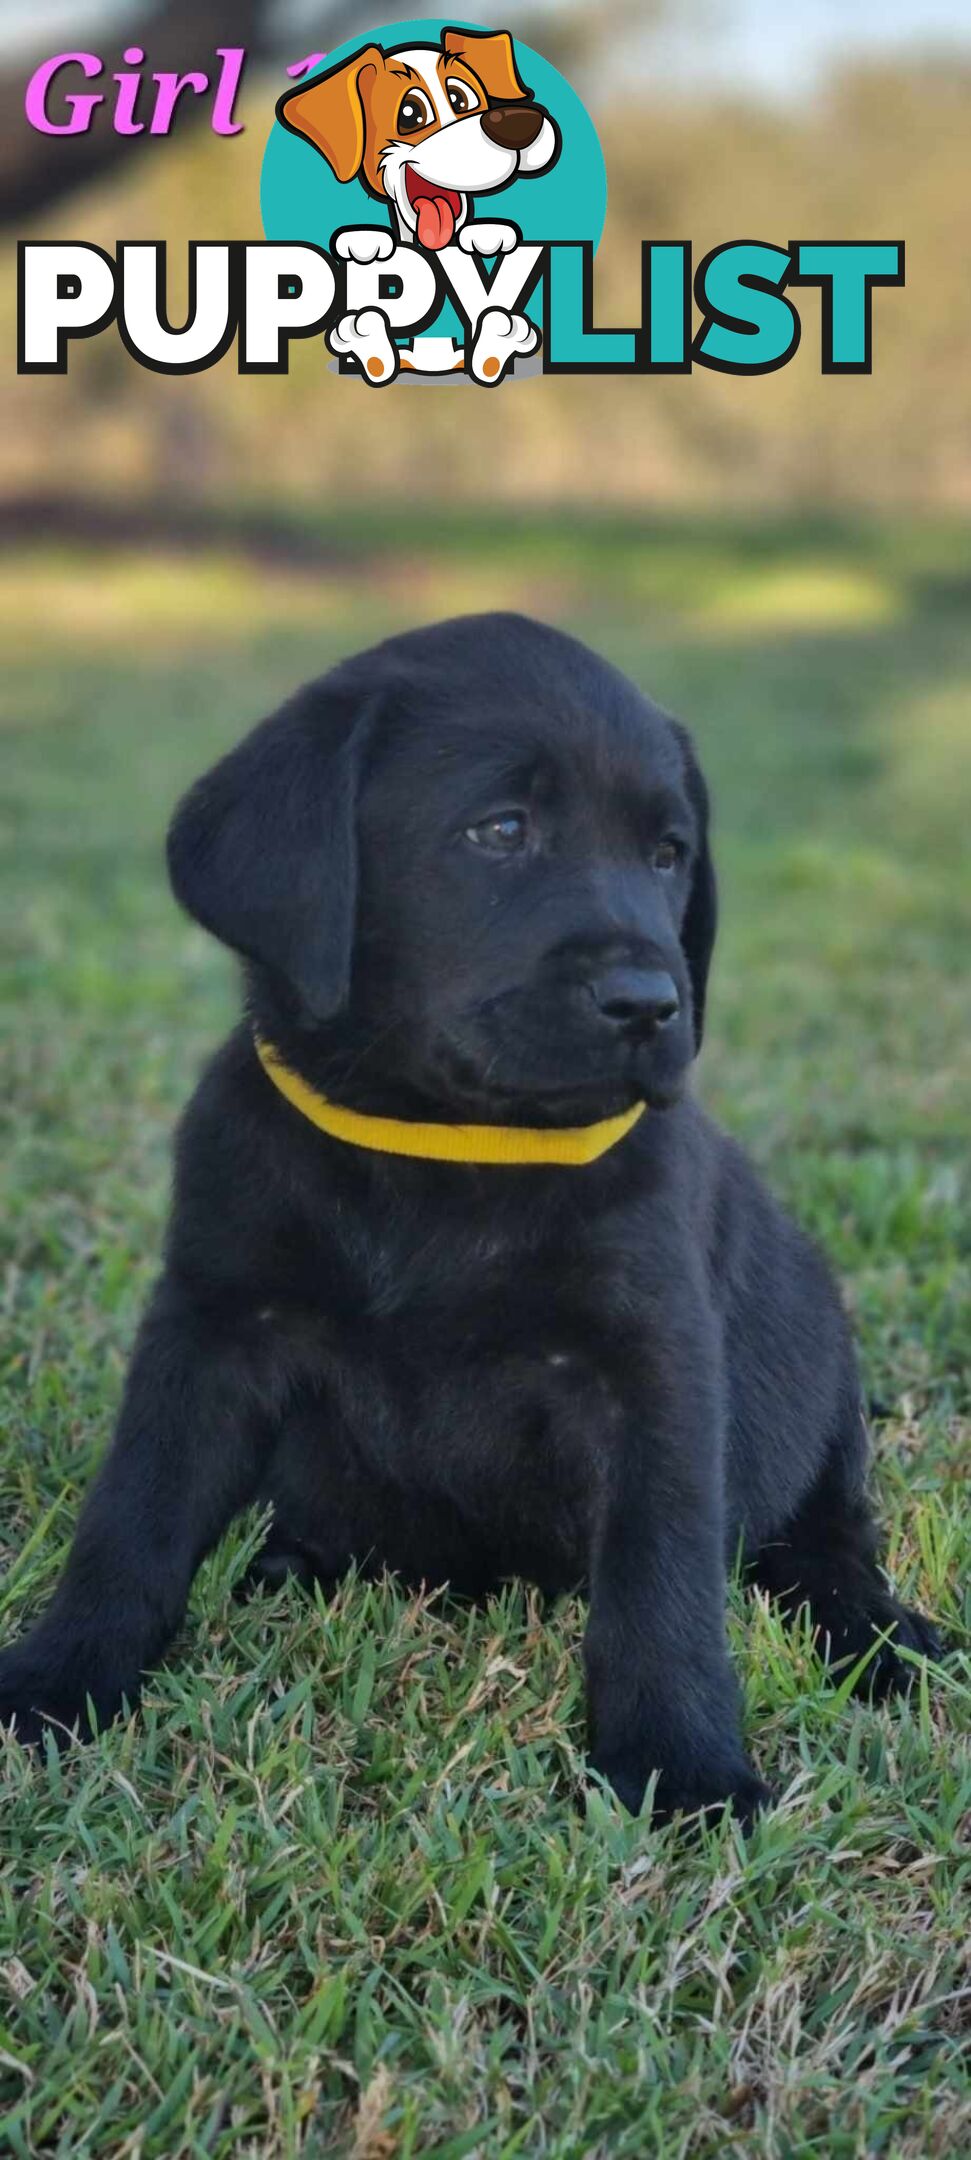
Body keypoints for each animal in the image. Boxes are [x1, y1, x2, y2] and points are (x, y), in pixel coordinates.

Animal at [0, 617, 940, 1814]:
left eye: (666, 854)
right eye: (500, 831)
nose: (651, 1004)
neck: (443, 1148)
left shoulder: (653, 1369)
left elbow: (659, 1583)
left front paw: (680, 1769)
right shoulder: (212, 1329)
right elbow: (133, 1522)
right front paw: (55, 1683)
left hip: (820, 1395)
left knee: (826, 1542)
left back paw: (884, 1637)